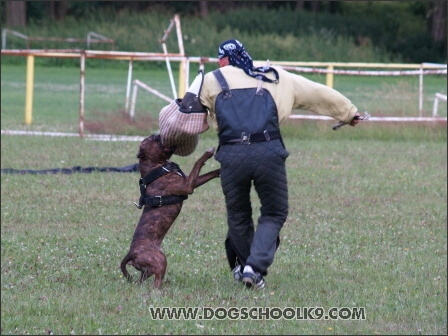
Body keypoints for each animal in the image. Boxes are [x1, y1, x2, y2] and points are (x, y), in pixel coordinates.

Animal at [121, 135, 220, 288]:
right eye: (154, 138)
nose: (159, 134)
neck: (156, 167)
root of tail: (131, 254)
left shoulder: (192, 182)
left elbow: (209, 173)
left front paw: (220, 171)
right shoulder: (187, 186)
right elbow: (197, 163)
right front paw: (207, 153)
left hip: (148, 269)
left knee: (142, 279)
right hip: (160, 260)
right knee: (156, 283)